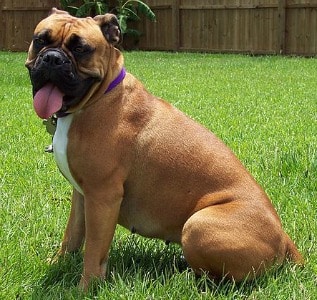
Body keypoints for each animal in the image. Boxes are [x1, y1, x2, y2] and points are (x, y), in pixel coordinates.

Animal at [25, 7, 302, 290]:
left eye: (81, 48)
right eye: (40, 40)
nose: (52, 59)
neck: (98, 97)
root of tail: (284, 240)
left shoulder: (102, 196)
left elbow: (93, 249)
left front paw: (86, 287)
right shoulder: (82, 194)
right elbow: (72, 235)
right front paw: (58, 262)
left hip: (198, 225)